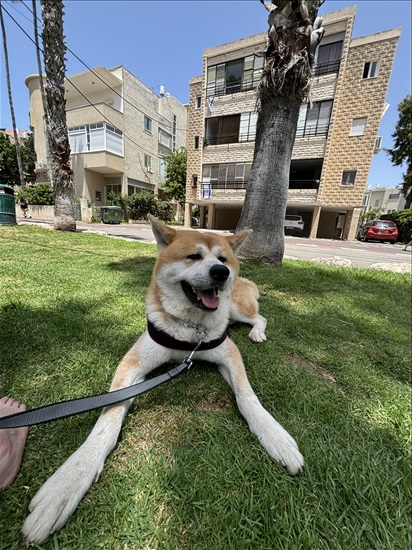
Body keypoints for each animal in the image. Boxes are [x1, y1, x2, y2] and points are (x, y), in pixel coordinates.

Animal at [22, 218, 304, 544]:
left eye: (222, 259)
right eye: (193, 257)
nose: (221, 273)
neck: (191, 332)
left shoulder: (228, 352)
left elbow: (247, 397)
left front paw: (275, 436)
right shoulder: (134, 363)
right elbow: (109, 417)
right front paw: (69, 481)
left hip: (237, 309)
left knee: (260, 318)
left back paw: (257, 333)